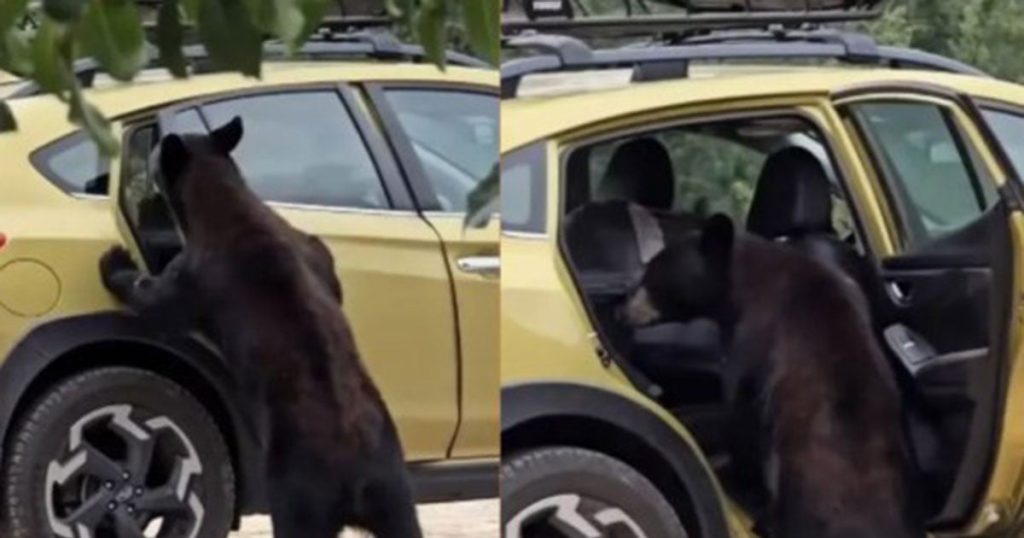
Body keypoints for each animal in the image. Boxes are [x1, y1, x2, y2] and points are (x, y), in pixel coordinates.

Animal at [99, 117, 422, 538]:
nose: (144, 167)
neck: (224, 198)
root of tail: (358, 475)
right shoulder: (313, 250)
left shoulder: (192, 275)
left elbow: (155, 300)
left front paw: (115, 262)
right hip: (393, 488)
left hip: (298, 490)